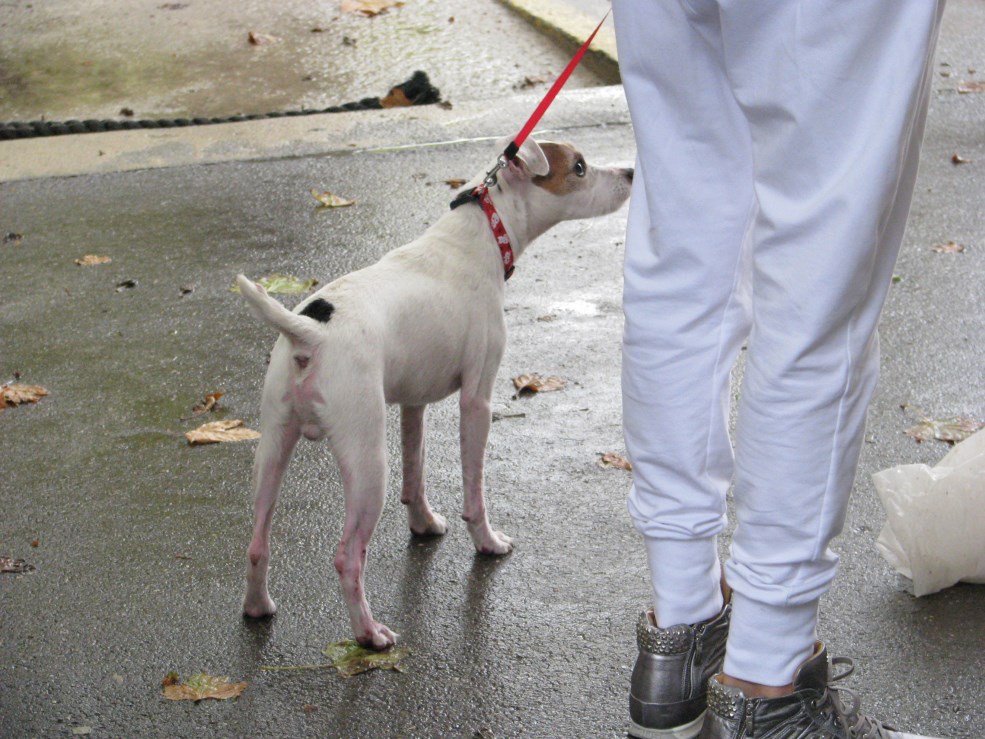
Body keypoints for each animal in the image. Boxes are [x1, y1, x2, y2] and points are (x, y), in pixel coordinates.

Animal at [236, 138, 632, 649]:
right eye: (580, 168)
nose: (630, 173)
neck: (483, 229)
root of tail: (311, 333)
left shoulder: (414, 403)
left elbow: (417, 472)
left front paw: (423, 525)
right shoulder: (477, 402)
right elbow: (474, 489)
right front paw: (487, 542)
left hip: (271, 450)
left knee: (257, 541)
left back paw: (258, 606)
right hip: (367, 464)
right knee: (348, 556)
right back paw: (369, 633)